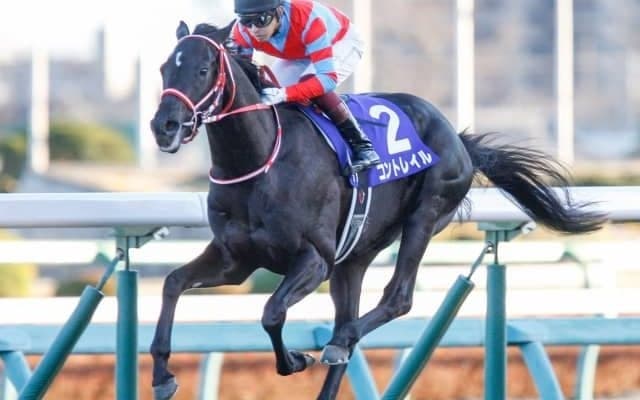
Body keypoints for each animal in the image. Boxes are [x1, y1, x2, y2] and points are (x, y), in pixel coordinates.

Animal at [149, 20, 606, 400]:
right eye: (164, 69)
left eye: (203, 69)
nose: (163, 126)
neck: (260, 161)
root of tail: (458, 139)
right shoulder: (236, 260)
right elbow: (173, 283)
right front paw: (163, 376)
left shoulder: (314, 259)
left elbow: (272, 312)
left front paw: (295, 359)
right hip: (354, 257)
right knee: (348, 321)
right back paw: (338, 347)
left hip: (424, 216)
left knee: (394, 300)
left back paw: (339, 341)